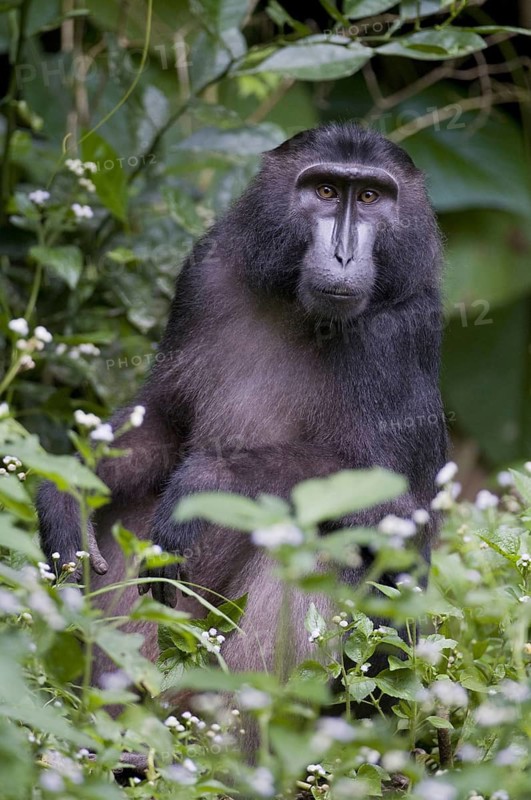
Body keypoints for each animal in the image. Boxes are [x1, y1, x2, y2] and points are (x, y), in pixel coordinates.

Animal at [37, 122, 447, 689]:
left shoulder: (402, 332)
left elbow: (402, 509)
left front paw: (211, 480)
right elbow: (165, 420)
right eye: (325, 191)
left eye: (369, 197)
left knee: (326, 538)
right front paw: (65, 490)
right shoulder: (203, 274)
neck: (298, 307)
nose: (343, 256)